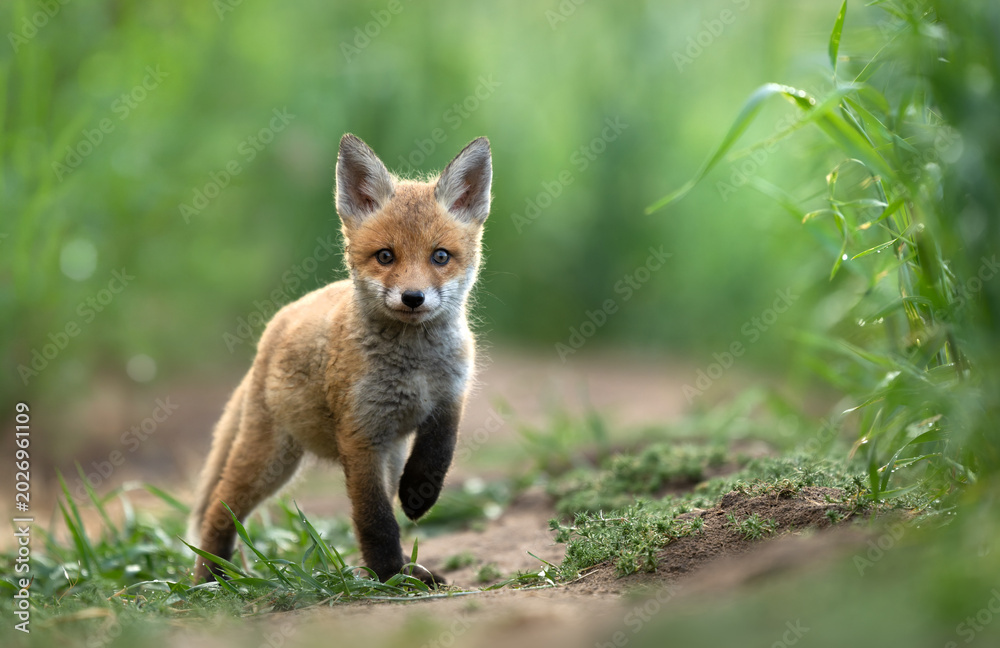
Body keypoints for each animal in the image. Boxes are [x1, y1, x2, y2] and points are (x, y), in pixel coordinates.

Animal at [189, 133, 492, 585]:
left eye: (440, 256)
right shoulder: (359, 433)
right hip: (271, 460)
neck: (414, 367)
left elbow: (438, 453)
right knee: (219, 508)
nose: (413, 297)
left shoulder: (448, 399)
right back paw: (210, 579)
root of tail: (277, 325)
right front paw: (388, 576)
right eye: (385, 256)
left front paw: (418, 496)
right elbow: (374, 518)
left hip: (386, 452)